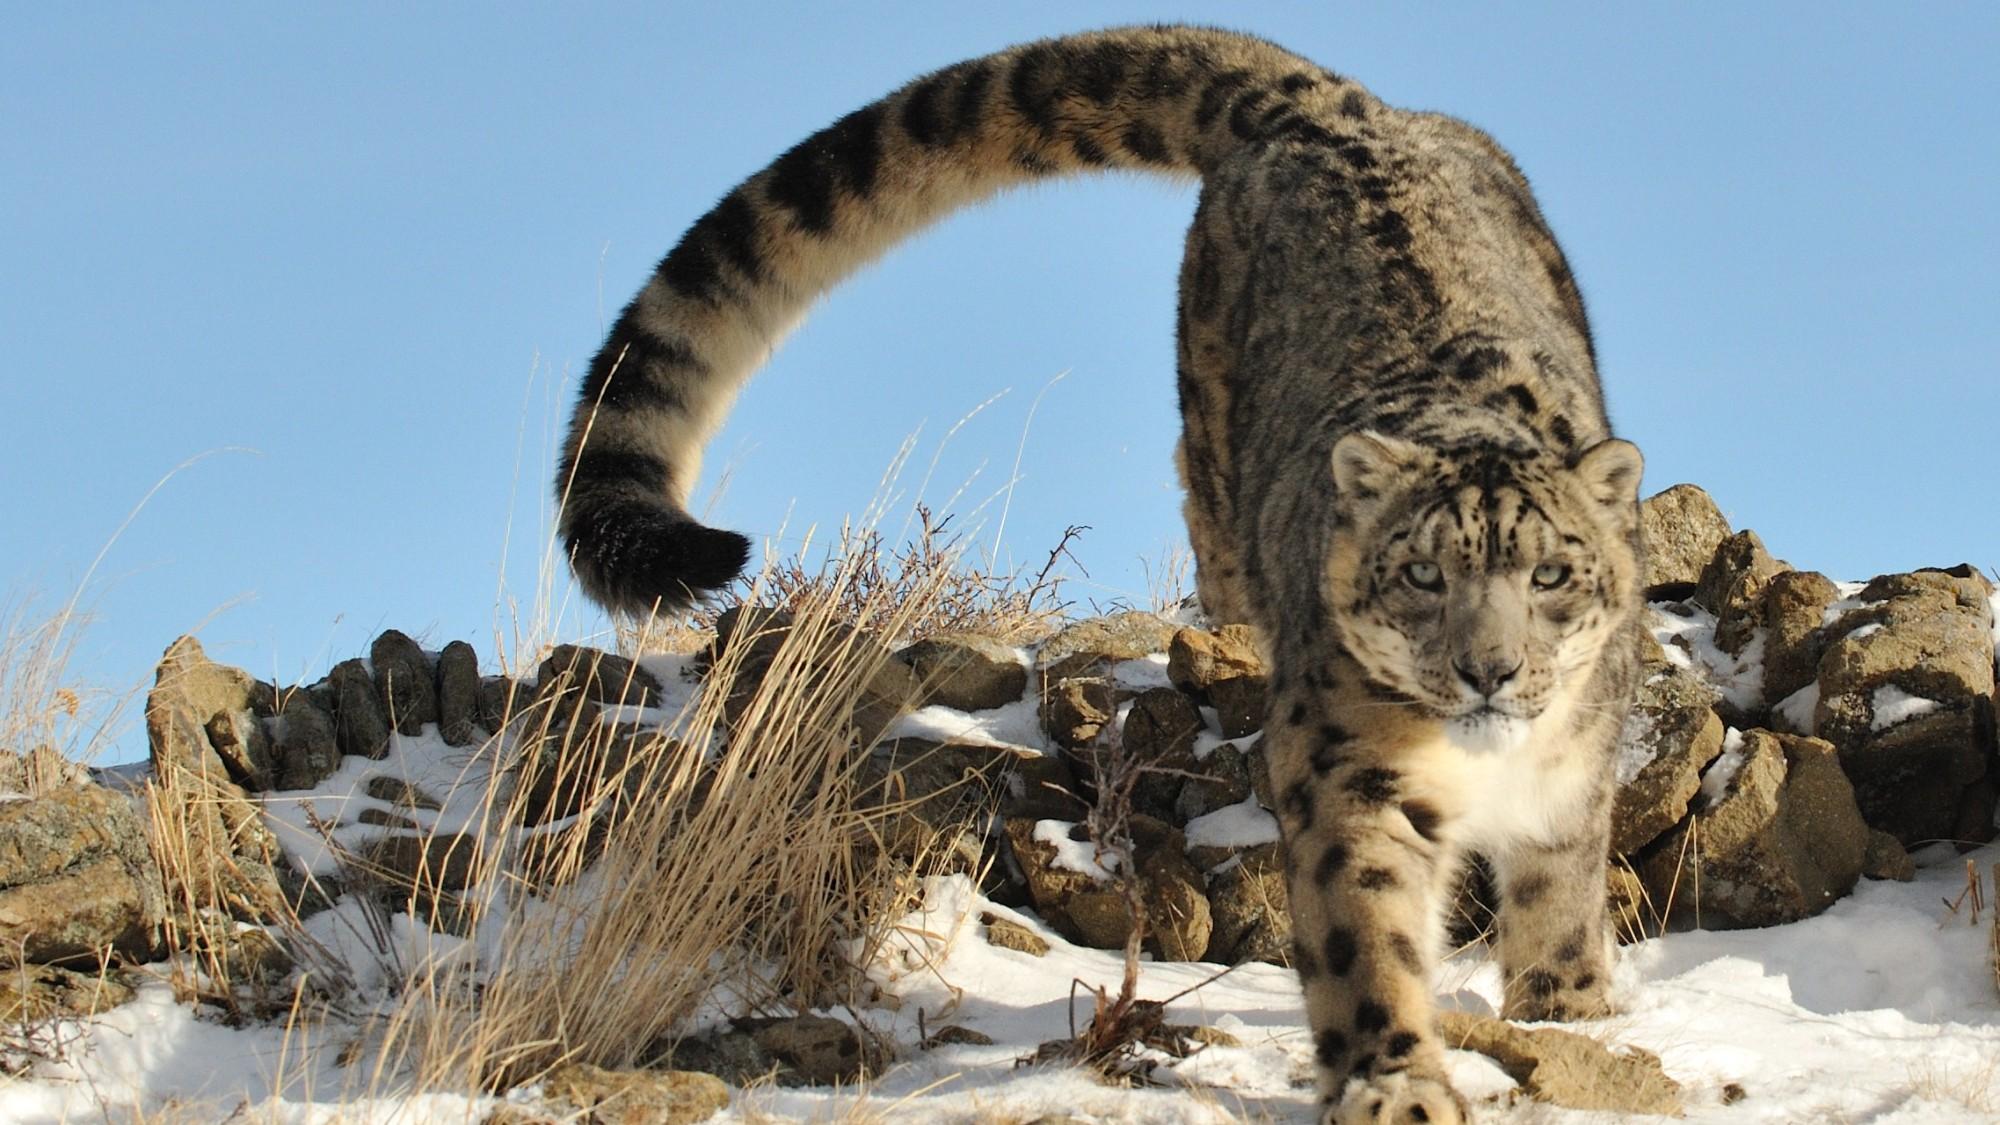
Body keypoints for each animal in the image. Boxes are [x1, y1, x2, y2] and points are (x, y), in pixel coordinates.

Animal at [560, 26, 1640, 1120]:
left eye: (1551, 575)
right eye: (1421, 573)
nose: (1489, 671)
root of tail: (1336, 106)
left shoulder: (1576, 772)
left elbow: (1558, 887)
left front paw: (1567, 1010)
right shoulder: (1348, 770)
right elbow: (1364, 936)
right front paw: (1394, 1083)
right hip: (1212, 452)